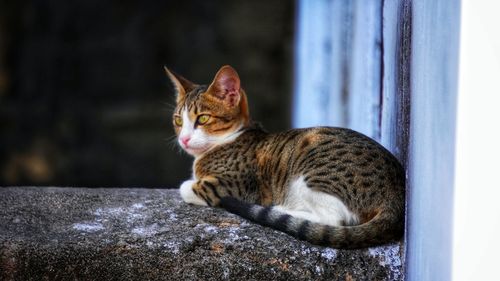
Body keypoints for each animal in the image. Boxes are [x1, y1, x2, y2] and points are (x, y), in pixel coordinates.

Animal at [166, 65, 404, 247]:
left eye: (203, 119)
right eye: (178, 120)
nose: (184, 139)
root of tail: (395, 195)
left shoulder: (231, 186)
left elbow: (186, 187)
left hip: (312, 173)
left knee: (335, 220)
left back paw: (282, 210)